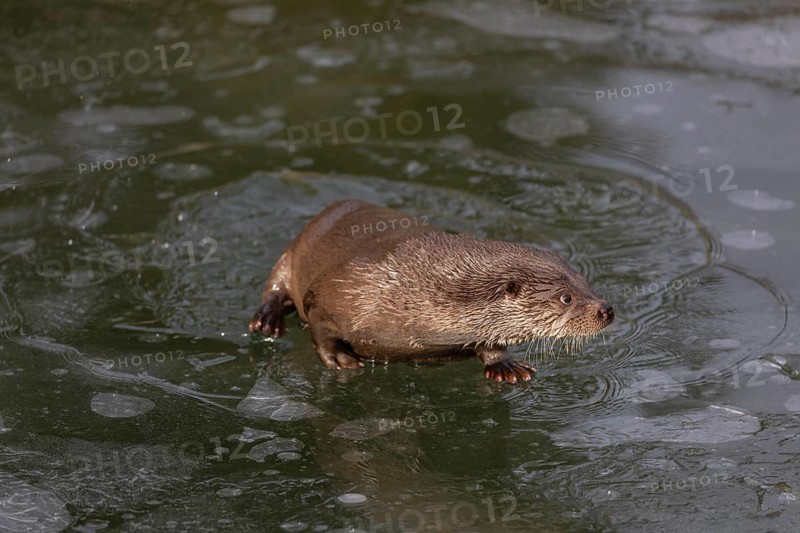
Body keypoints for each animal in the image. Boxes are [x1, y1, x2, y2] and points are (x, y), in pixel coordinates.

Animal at [248, 199, 613, 384]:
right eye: (566, 297)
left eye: (585, 282)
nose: (606, 309)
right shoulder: (333, 292)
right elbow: (321, 330)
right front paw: (339, 358)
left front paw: (504, 365)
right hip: (295, 250)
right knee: (274, 284)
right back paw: (267, 320)